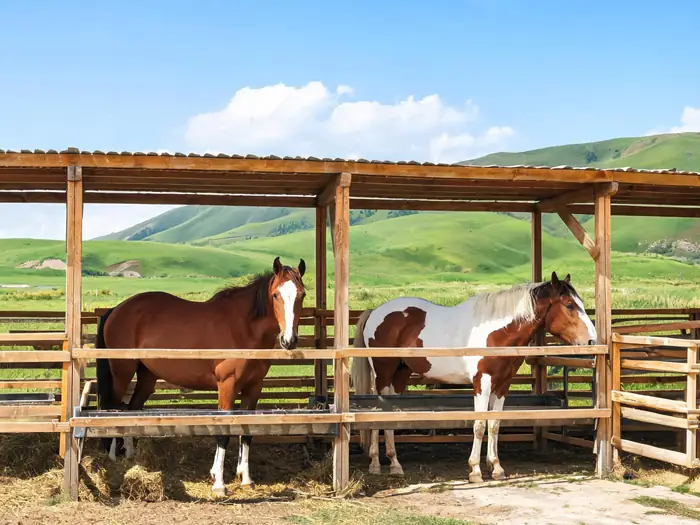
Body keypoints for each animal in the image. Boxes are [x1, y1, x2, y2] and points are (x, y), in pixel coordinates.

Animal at [95, 256, 306, 495]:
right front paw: (219, 483)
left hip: (147, 376)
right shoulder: (227, 386)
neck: (243, 328)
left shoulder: (254, 387)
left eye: (301, 294)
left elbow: (246, 431)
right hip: (122, 372)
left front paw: (245, 478)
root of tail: (116, 309)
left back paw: (131, 456)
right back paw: (113, 457)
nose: (289, 340)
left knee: (132, 408)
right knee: (113, 407)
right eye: (276, 295)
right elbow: (224, 432)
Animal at [350, 271, 597, 483]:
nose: (592, 341)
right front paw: (475, 470)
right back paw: (380, 463)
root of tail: (375, 312)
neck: (497, 331)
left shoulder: (502, 384)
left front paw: (496, 468)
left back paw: (391, 464)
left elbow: (494, 424)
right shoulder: (482, 382)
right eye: (569, 305)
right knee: (380, 412)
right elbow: (479, 424)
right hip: (383, 374)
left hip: (400, 375)